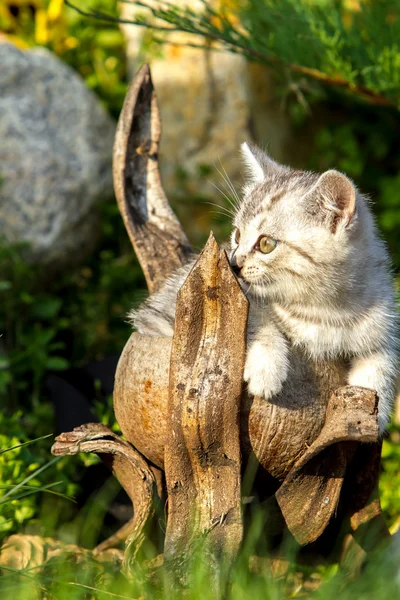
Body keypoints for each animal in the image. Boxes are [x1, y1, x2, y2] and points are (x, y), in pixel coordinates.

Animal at [130, 143, 398, 434]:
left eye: (266, 244)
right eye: (237, 235)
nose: (233, 263)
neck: (324, 309)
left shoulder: (383, 323)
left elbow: (382, 363)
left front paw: (372, 414)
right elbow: (254, 321)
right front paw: (266, 369)